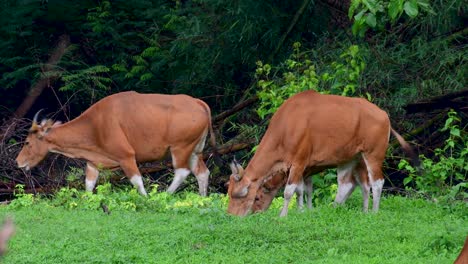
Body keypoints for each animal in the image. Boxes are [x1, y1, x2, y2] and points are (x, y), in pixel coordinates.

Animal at [15, 91, 217, 196]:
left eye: (27, 142)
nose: (18, 162)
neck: (95, 126)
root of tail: (198, 103)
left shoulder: (126, 156)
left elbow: (137, 182)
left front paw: (146, 200)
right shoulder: (93, 162)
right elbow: (88, 185)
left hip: (180, 147)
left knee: (182, 172)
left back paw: (166, 195)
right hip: (195, 150)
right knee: (202, 172)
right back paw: (202, 198)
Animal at [228, 91, 416, 217]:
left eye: (253, 197)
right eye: (229, 194)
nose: (231, 215)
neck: (287, 127)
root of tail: (384, 115)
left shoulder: (299, 162)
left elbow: (289, 191)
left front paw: (283, 215)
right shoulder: (304, 169)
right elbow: (303, 190)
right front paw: (303, 211)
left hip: (373, 154)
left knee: (376, 182)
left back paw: (373, 212)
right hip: (350, 158)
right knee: (347, 184)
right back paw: (342, 209)